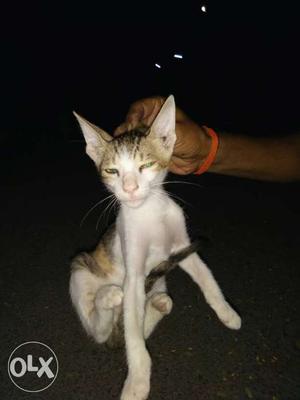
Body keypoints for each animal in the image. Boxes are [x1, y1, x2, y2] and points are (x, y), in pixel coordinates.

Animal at [69, 96, 240, 400]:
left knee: (151, 306)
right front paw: (137, 382)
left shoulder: (182, 247)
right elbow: (133, 339)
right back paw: (108, 298)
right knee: (102, 329)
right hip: (81, 268)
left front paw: (227, 312)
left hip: (158, 279)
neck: (150, 213)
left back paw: (159, 303)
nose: (129, 188)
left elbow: (207, 279)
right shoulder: (134, 272)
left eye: (146, 165)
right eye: (112, 171)